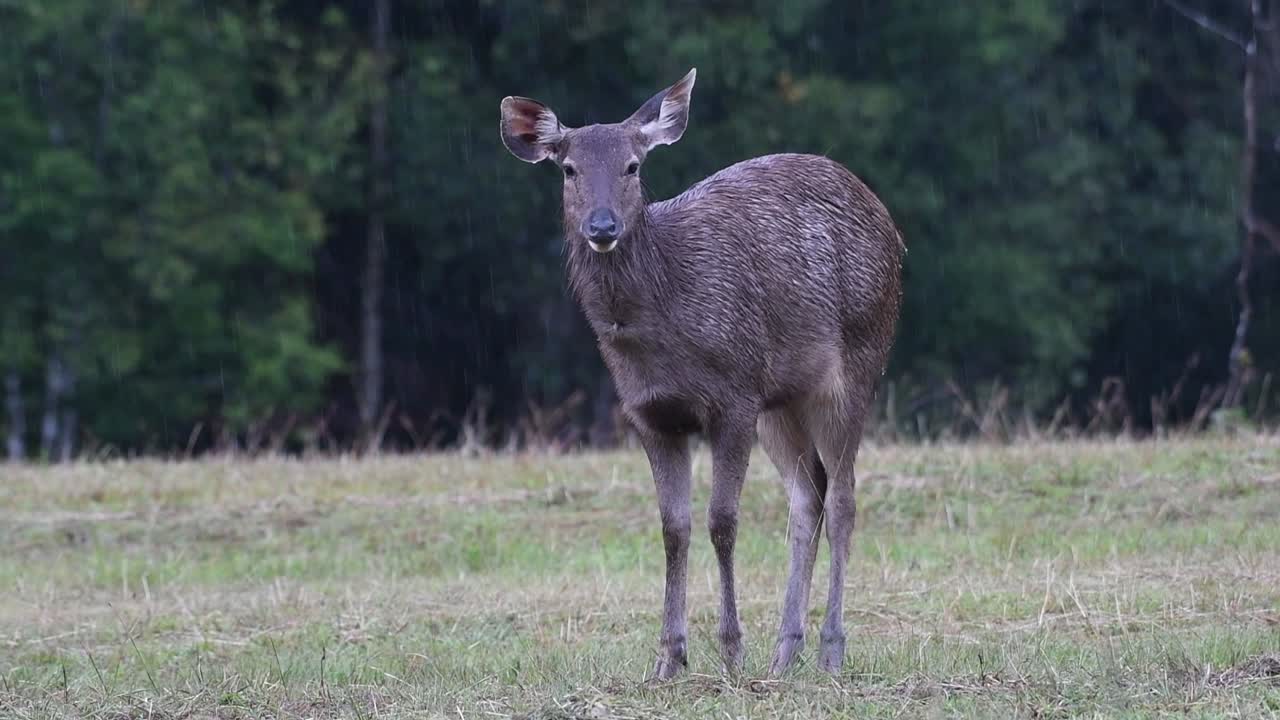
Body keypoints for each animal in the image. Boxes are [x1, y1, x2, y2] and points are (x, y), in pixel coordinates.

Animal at [499, 69, 903, 679]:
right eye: (568, 168)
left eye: (633, 165)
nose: (602, 225)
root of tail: (891, 226)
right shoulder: (649, 414)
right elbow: (674, 526)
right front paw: (669, 657)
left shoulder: (733, 395)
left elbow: (722, 520)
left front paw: (731, 649)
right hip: (781, 400)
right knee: (807, 496)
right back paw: (785, 651)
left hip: (856, 362)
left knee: (843, 499)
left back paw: (831, 650)